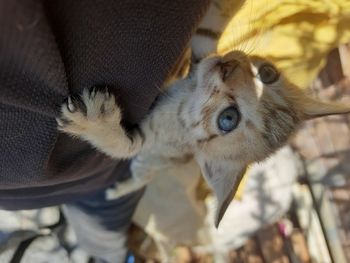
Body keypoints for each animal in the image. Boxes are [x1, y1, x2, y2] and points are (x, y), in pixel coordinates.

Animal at [57, 50, 350, 228]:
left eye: (228, 119)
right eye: (267, 73)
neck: (183, 101)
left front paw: (95, 121)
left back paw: (119, 189)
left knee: (140, 178)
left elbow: (119, 146)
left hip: (146, 164)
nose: (228, 66)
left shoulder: (149, 143)